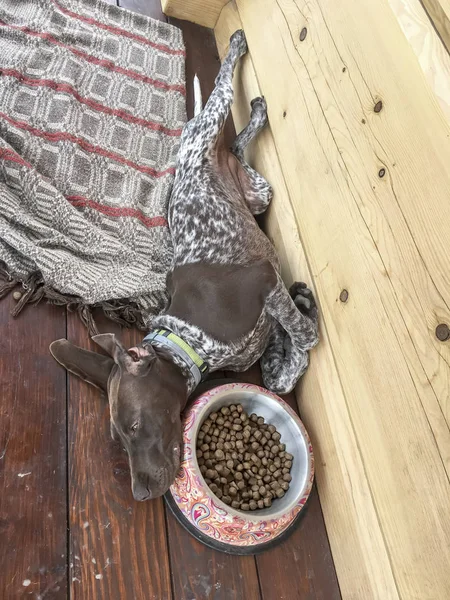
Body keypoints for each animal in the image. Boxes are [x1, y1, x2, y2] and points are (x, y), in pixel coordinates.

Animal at [50, 32, 320, 502]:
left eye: (136, 425)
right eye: (118, 437)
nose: (140, 494)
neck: (190, 340)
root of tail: (195, 147)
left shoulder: (264, 282)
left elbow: (303, 340)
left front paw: (307, 329)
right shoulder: (265, 327)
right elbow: (279, 377)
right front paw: (300, 314)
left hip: (211, 128)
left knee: (222, 92)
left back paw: (237, 47)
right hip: (258, 192)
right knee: (236, 146)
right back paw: (256, 114)